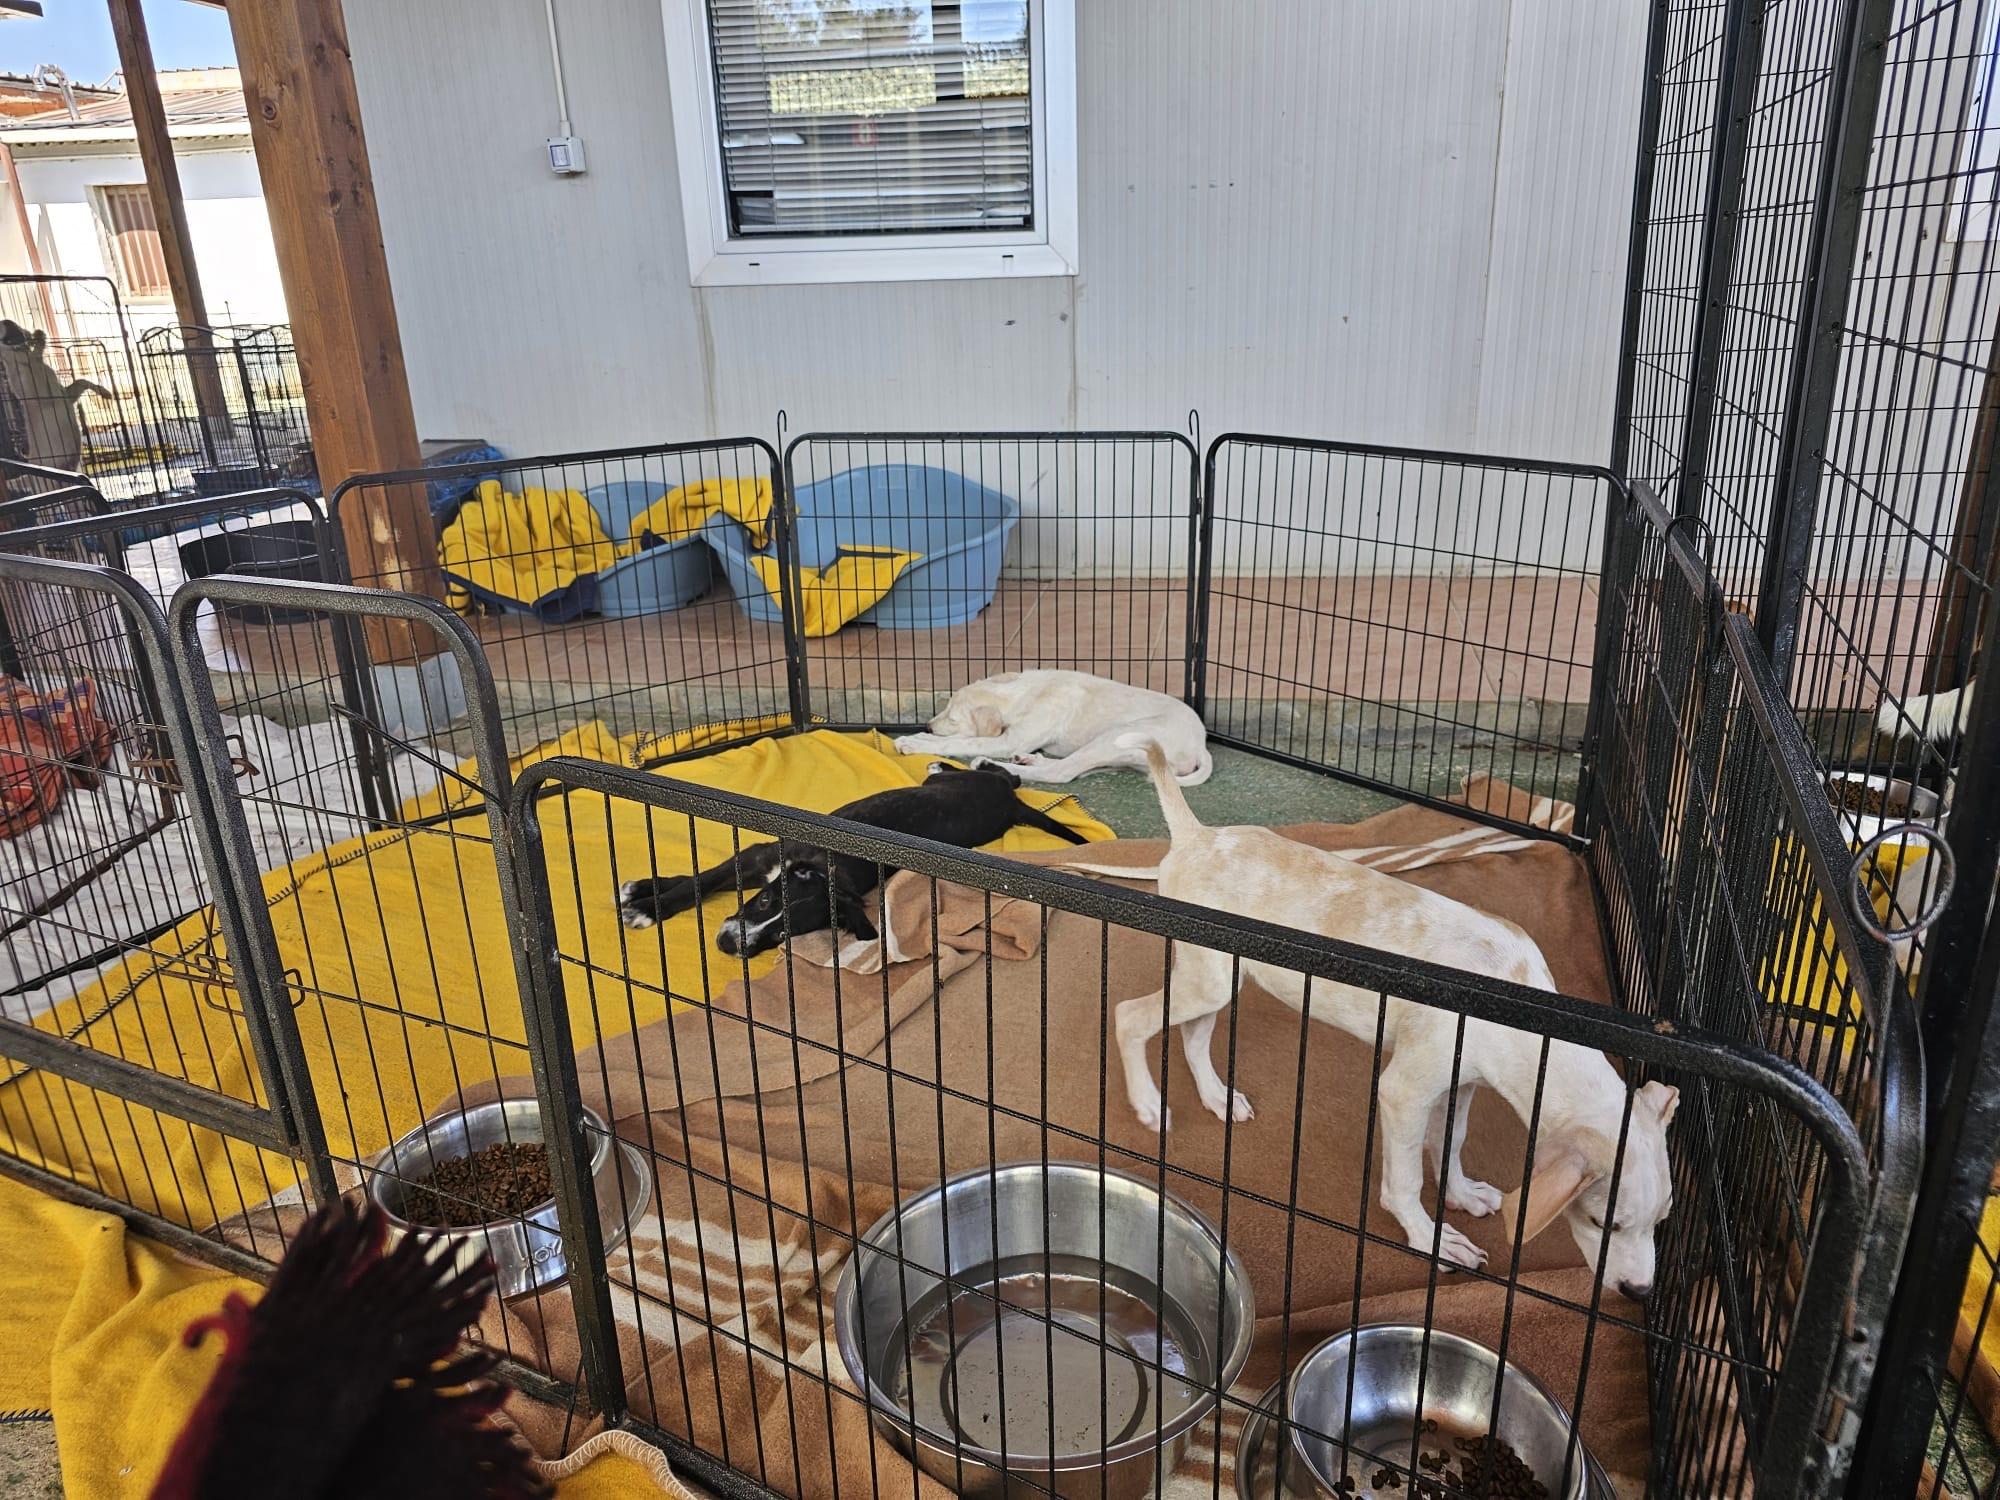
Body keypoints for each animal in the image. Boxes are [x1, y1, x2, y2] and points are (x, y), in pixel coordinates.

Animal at [616, 760, 1087, 955]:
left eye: (785, 935)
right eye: (765, 901)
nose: (728, 944)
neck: (825, 865)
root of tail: (1011, 806)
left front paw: (643, 903)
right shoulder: (757, 857)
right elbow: (698, 880)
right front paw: (647, 898)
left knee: (1008, 776)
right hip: (966, 786)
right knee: (1009, 774)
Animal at [893, 670, 1213, 785]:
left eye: (952, 718)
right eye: (944, 708)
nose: (928, 726)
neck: (1022, 694)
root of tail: (1201, 744)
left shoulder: (1009, 739)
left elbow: (962, 741)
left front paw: (915, 742)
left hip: (1117, 736)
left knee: (1061, 773)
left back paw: (992, 764)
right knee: (1068, 766)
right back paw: (1029, 759)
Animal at [1070, 743, 1677, 1291]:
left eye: (1662, 1222)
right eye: (1602, 1220)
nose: (1638, 1291)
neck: (1521, 1001)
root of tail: (1198, 836)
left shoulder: (1461, 1082)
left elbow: (1451, 1142)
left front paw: (1460, 1194)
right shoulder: (1404, 1090)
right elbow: (1404, 1181)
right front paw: (1430, 1236)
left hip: (1219, 978)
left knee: (1194, 1037)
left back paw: (1218, 1097)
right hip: (1207, 981)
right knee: (1129, 1016)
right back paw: (1149, 1103)